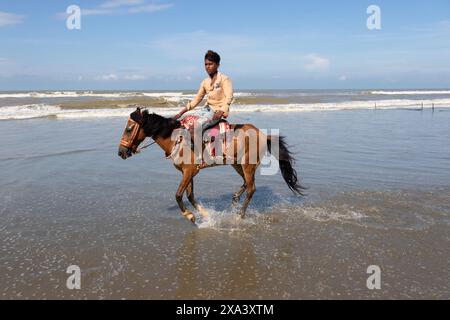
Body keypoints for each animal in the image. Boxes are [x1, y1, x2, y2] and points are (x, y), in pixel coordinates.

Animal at [118, 107, 304, 222]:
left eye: (129, 129)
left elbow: (178, 195)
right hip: (237, 164)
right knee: (246, 183)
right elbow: (190, 196)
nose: (121, 152)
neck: (176, 138)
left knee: (252, 188)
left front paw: (189, 215)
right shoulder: (189, 173)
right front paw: (205, 215)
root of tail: (263, 134)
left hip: (248, 165)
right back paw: (235, 199)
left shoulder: (189, 171)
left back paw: (240, 215)